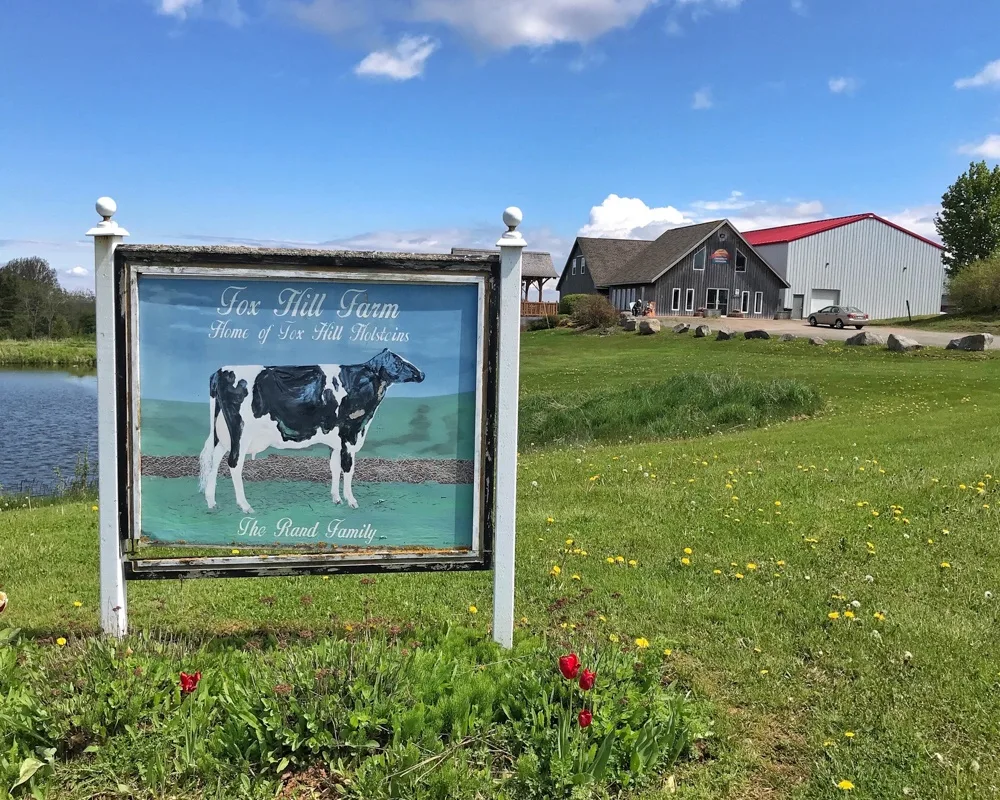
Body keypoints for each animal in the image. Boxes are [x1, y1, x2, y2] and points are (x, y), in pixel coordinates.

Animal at [197, 348, 424, 512]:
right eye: (397, 362)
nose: (421, 373)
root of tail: (220, 371)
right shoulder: (349, 434)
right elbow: (348, 468)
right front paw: (351, 500)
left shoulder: (336, 439)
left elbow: (334, 467)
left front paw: (336, 498)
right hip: (240, 431)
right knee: (234, 463)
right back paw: (245, 506)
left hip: (223, 432)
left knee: (215, 459)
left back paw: (211, 502)